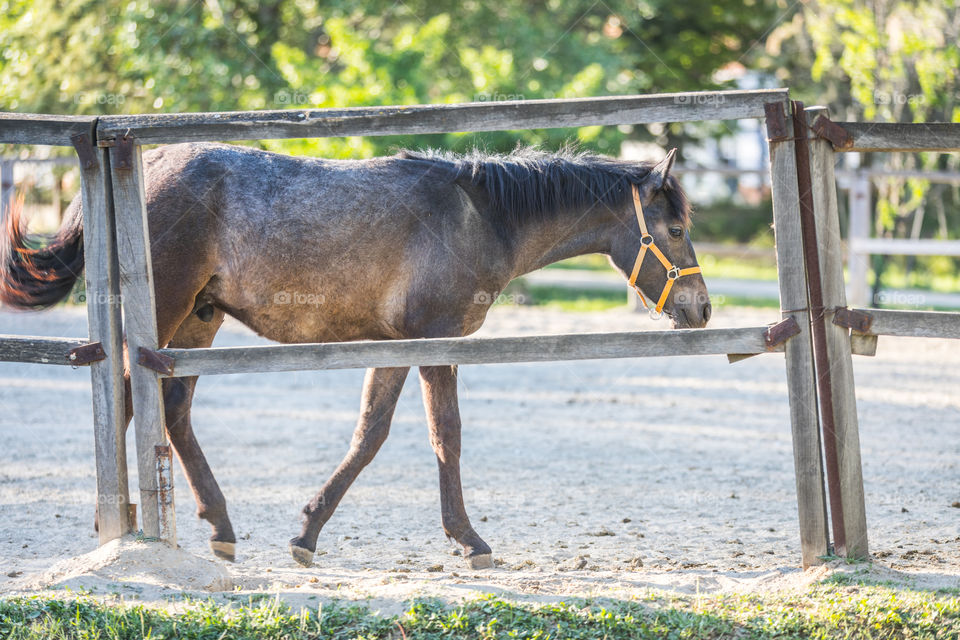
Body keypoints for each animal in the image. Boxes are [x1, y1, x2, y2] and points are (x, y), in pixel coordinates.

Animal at [1, 142, 712, 568]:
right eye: (676, 229)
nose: (702, 308)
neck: (480, 217)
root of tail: (145, 166)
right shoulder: (435, 339)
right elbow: (446, 434)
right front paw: (470, 541)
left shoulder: (395, 346)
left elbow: (370, 433)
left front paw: (307, 532)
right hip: (169, 314)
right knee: (127, 398)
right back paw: (123, 529)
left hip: (198, 320)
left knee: (170, 408)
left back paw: (219, 526)